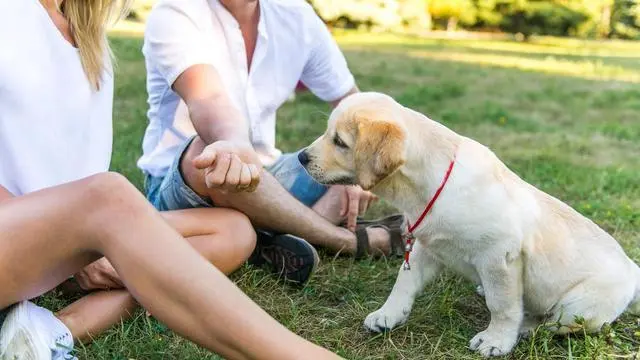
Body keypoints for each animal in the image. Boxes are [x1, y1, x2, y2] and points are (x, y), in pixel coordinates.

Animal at [300, 91, 640, 356]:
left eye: (339, 141)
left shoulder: (499, 257)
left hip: (578, 306)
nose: (302, 157)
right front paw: (388, 314)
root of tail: (633, 271)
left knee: (553, 323)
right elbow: (403, 282)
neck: (432, 186)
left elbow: (502, 305)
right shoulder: (426, 247)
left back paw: (525, 327)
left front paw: (496, 340)